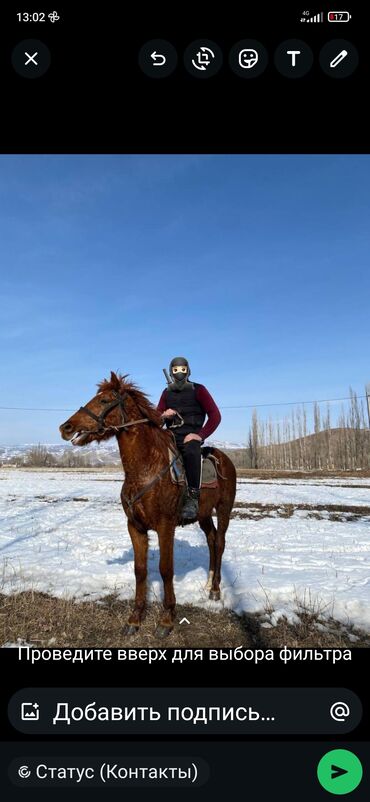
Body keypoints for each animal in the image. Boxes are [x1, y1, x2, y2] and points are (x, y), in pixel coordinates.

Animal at [59, 370, 236, 636]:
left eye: (104, 400)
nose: (66, 427)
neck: (144, 469)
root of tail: (224, 458)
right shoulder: (135, 526)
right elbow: (140, 570)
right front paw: (135, 619)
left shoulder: (165, 526)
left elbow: (165, 569)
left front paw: (167, 619)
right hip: (204, 515)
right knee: (212, 539)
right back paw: (208, 583)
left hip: (224, 509)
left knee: (221, 541)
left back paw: (215, 589)